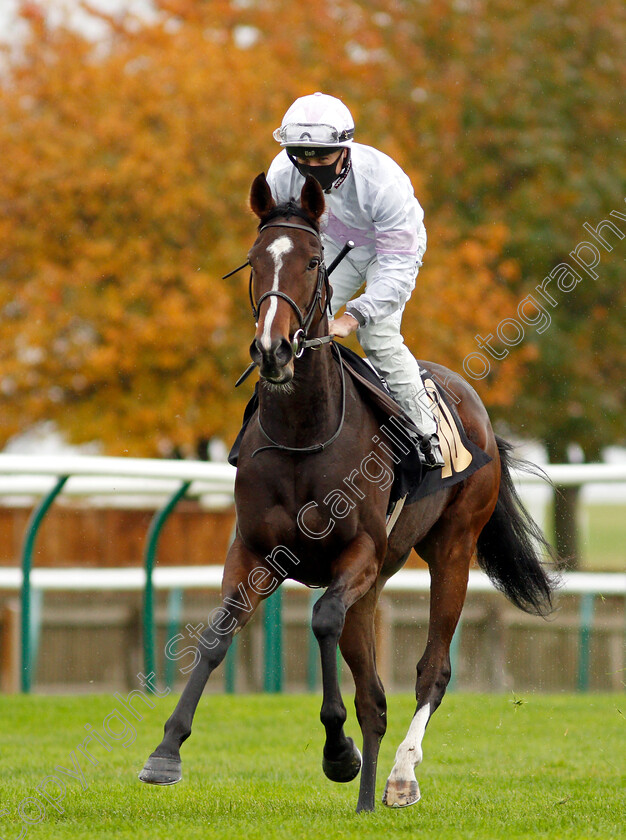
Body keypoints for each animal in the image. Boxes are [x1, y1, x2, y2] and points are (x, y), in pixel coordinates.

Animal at [139, 174, 552, 812]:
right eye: (255, 260)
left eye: (313, 261)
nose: (274, 350)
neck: (303, 435)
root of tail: (475, 407)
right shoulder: (253, 551)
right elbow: (217, 634)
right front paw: (166, 751)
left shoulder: (356, 553)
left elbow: (324, 620)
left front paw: (337, 751)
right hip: (381, 577)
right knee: (374, 696)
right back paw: (365, 798)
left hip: (451, 549)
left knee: (431, 670)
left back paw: (400, 777)